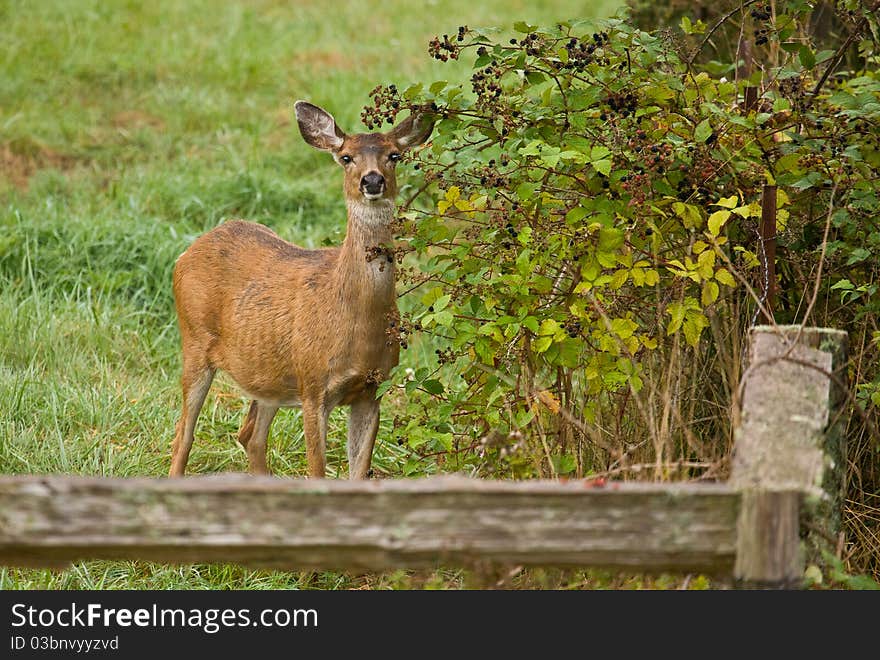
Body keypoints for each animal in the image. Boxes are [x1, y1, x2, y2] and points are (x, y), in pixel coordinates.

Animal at [168, 99, 434, 480]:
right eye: (346, 157)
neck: (355, 318)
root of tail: (187, 252)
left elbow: (359, 472)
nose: (372, 180)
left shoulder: (373, 389)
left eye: (394, 155)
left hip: (267, 372)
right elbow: (317, 471)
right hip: (194, 341)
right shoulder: (314, 384)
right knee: (183, 437)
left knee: (250, 434)